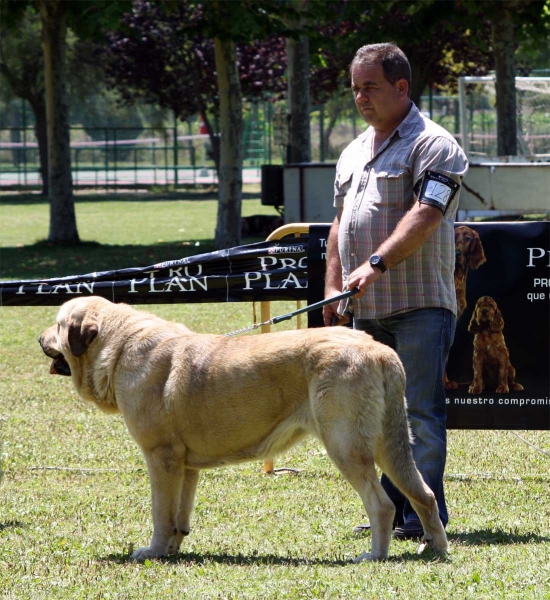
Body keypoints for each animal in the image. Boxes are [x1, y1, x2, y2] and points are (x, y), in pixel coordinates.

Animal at [41, 296, 450, 564]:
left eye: (57, 325)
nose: (39, 338)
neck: (120, 347)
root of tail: (381, 352)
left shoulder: (161, 458)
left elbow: (161, 513)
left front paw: (153, 551)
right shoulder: (185, 467)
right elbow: (179, 515)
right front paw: (172, 550)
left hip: (345, 446)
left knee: (381, 504)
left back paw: (375, 555)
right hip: (390, 445)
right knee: (424, 494)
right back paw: (436, 547)